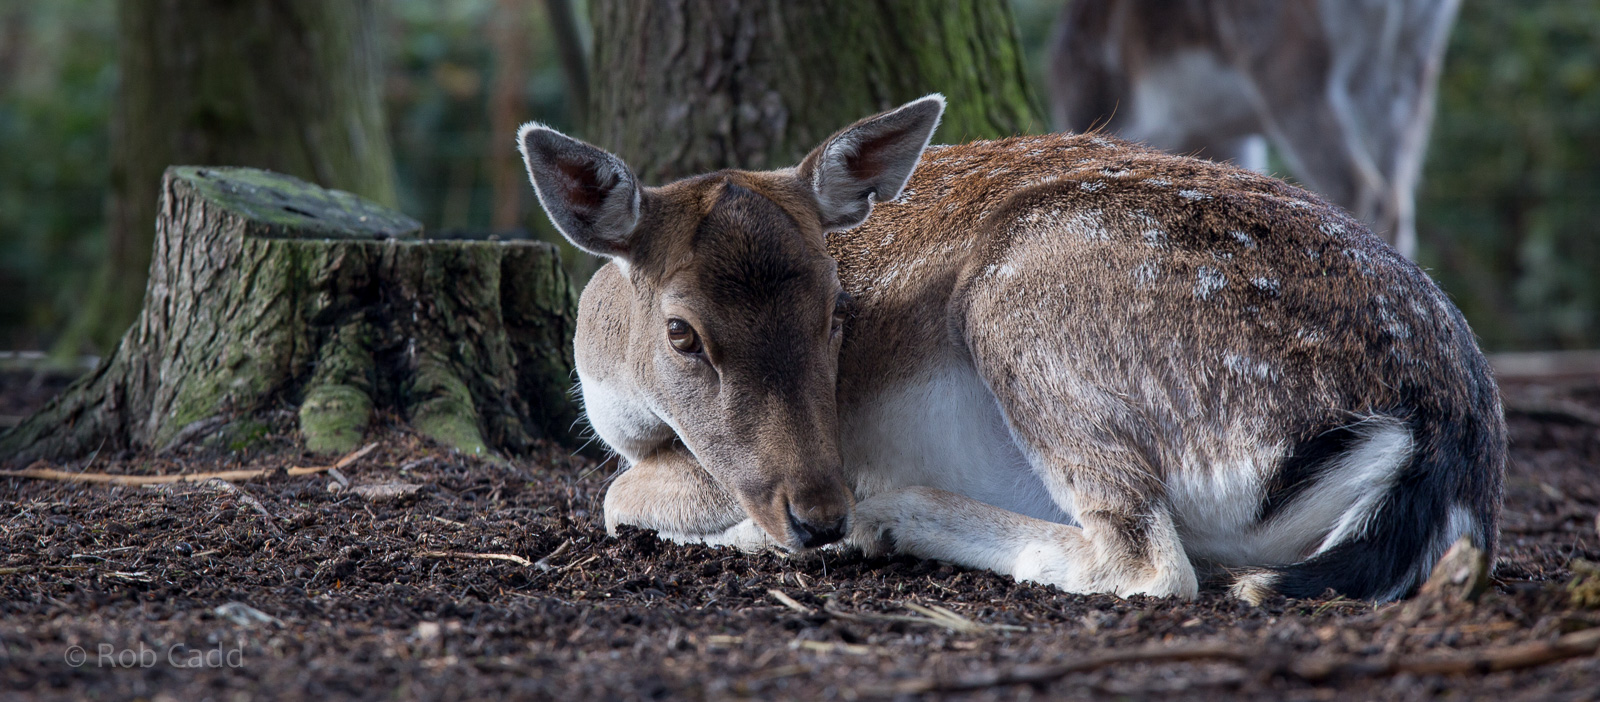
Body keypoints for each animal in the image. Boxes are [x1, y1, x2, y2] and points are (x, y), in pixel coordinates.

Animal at [517, 95, 1504, 603]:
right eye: (682, 332)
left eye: (838, 312)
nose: (816, 514)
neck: (613, 385)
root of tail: (1438, 441)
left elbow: (616, 494)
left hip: (1025, 306)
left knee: (1151, 565)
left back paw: (883, 521)